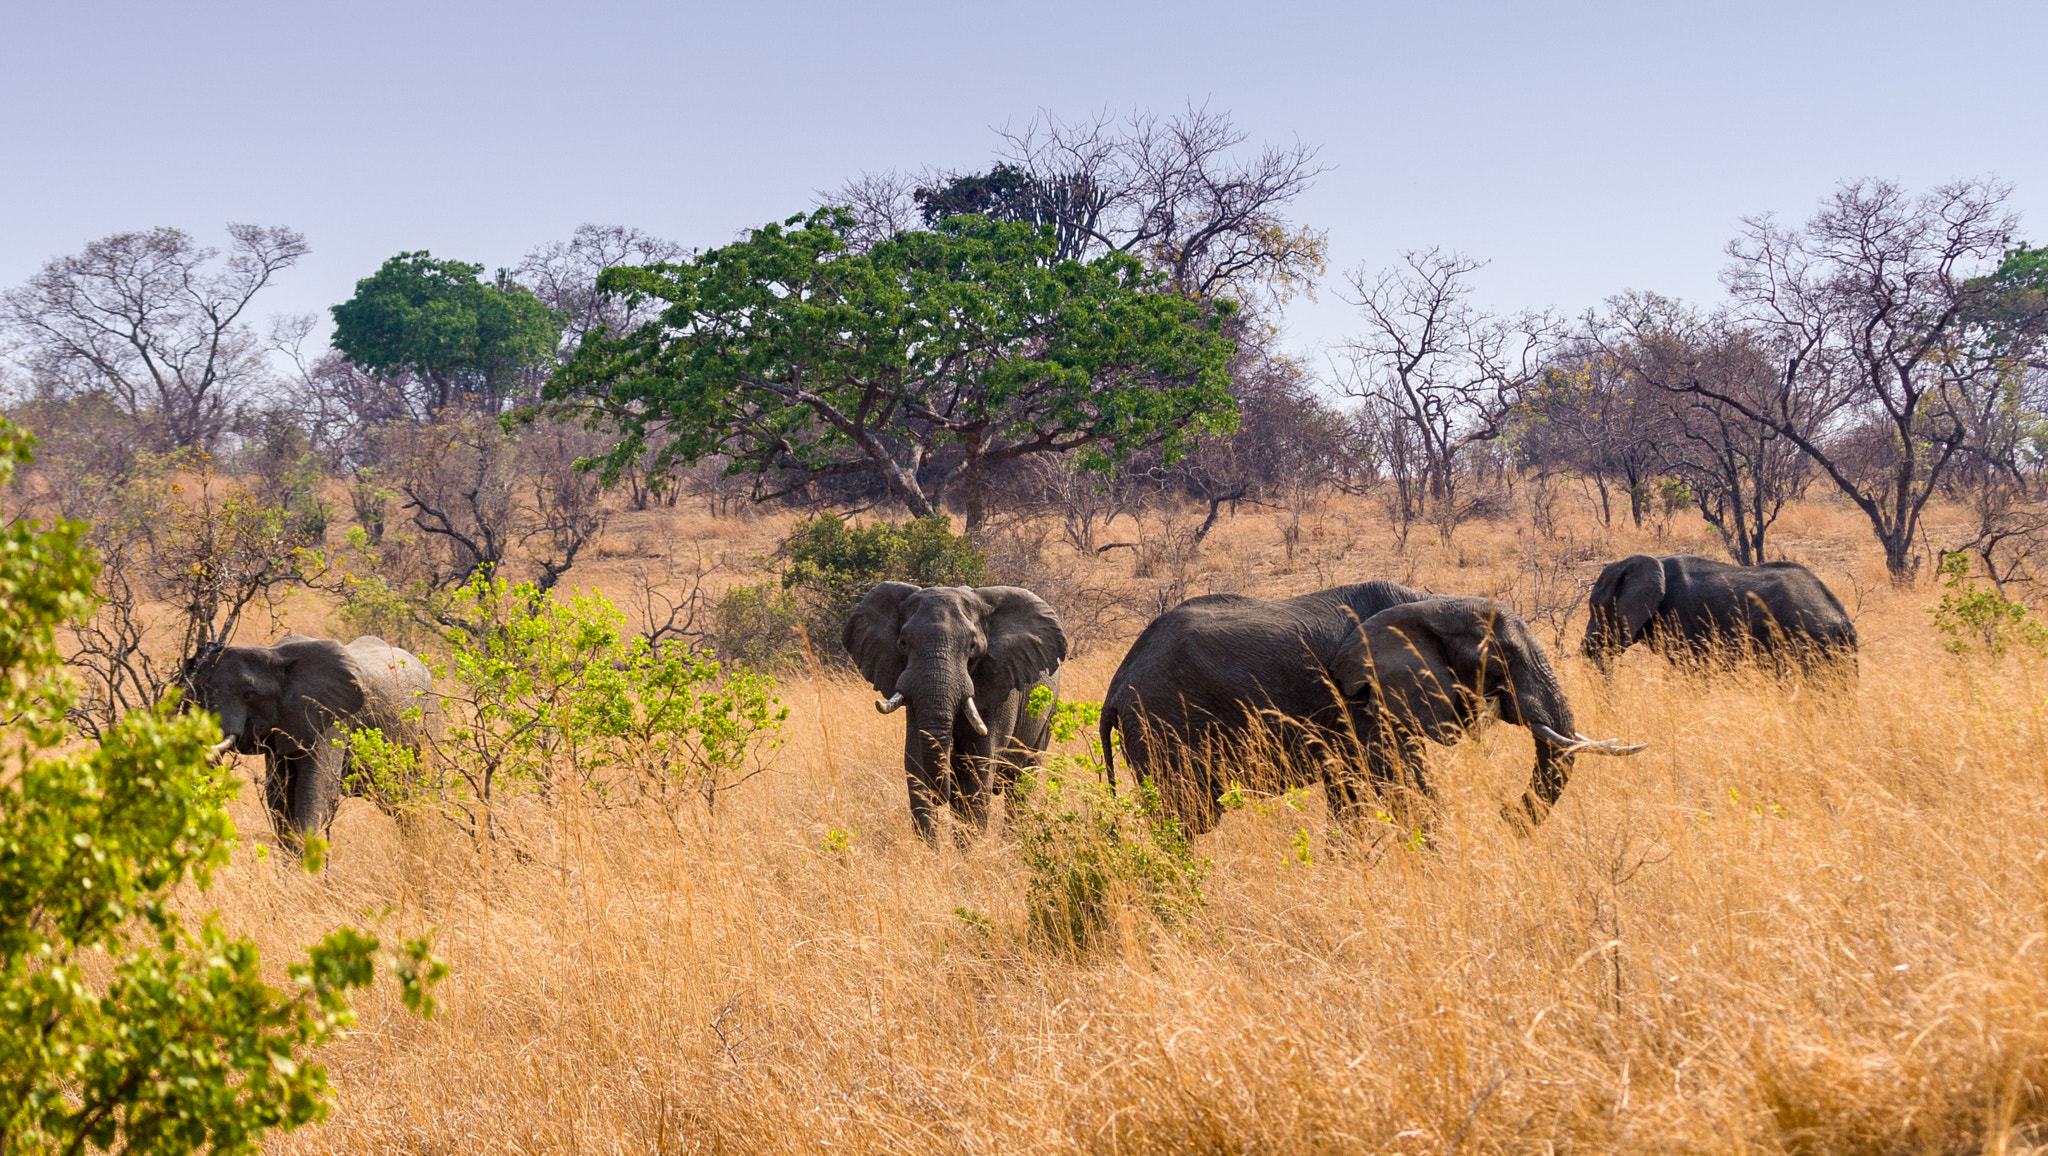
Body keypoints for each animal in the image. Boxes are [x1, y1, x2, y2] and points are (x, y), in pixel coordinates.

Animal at [186, 631, 438, 848]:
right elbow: (279, 798)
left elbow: (316, 793)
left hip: (429, 722)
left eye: (249, 693)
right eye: (199, 689)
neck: (273, 653)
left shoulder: (332, 719)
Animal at [843, 582, 1073, 844]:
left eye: (973, 647)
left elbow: (977, 766)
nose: (939, 796)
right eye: (903, 643)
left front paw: (969, 850)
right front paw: (931, 850)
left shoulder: (999, 684)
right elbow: (915, 761)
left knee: (1021, 784)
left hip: (1047, 716)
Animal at [1097, 586, 1638, 832]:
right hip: (1162, 723)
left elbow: (1351, 798)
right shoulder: (1366, 702)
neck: (1430, 602)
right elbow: (1405, 787)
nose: (1505, 814)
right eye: (1500, 660)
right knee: (1187, 818)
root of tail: (1116, 685)